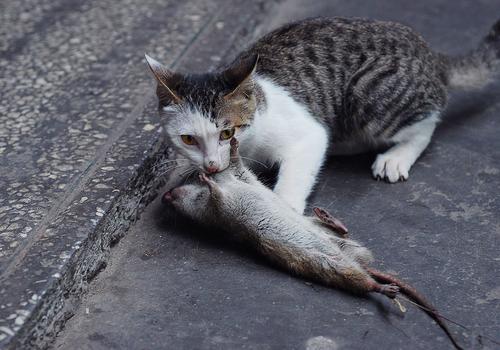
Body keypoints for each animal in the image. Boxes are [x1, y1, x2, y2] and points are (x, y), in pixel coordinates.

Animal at [146, 16, 500, 213]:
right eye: (188, 139)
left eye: (227, 133)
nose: (211, 164)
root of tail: (430, 53)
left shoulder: (307, 133)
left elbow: (305, 155)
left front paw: (284, 207)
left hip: (368, 93)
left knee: (427, 120)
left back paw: (396, 156)